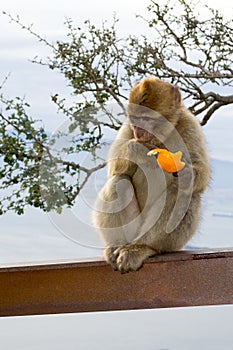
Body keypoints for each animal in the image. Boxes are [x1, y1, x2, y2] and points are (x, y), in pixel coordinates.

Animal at [92, 76, 210, 274]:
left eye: (146, 118)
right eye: (135, 119)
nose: (139, 131)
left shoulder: (190, 126)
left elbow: (201, 175)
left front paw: (186, 172)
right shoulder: (128, 126)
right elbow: (114, 168)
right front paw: (140, 148)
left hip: (168, 241)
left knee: (181, 191)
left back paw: (142, 247)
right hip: (133, 227)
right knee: (118, 181)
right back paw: (118, 245)